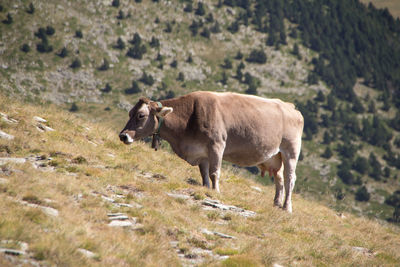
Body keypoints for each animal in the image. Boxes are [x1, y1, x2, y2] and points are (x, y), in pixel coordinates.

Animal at [119, 91, 304, 213]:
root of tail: (290, 107)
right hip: (274, 156)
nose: (123, 135)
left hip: (290, 150)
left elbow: (215, 173)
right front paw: (207, 190)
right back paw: (276, 204)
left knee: (289, 178)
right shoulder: (201, 153)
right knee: (279, 179)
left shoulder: (217, 145)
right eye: (130, 113)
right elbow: (204, 175)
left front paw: (216, 193)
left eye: (141, 115)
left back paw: (287, 207)